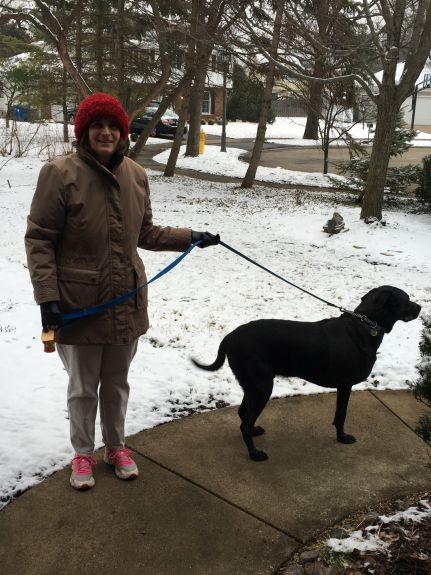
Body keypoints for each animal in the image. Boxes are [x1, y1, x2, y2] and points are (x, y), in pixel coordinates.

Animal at [193, 288, 422, 464]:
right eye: (406, 299)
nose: (420, 307)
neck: (365, 325)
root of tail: (228, 338)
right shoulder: (345, 384)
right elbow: (341, 414)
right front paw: (342, 438)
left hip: (253, 385)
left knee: (243, 413)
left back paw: (255, 432)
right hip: (261, 386)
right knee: (244, 423)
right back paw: (254, 454)